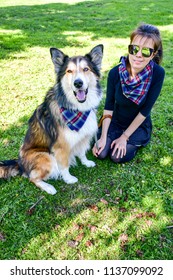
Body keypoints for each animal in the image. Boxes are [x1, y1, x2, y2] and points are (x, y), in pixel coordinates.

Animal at [0, 44, 103, 196]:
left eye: (86, 69)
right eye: (69, 71)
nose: (78, 83)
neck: (76, 108)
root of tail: (19, 163)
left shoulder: (83, 135)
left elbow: (81, 152)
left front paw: (86, 162)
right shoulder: (61, 146)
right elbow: (64, 165)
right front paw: (69, 179)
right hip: (46, 157)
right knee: (32, 178)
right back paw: (49, 187)